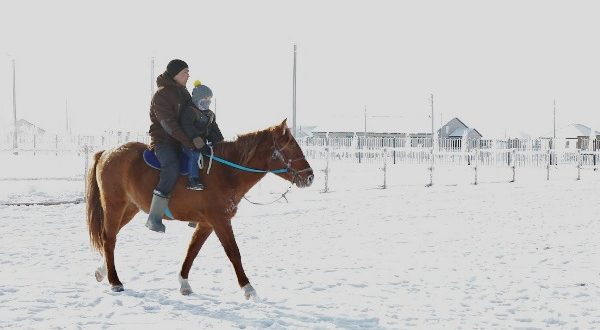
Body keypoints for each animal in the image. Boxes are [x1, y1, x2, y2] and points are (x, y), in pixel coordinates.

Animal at [87, 120, 316, 298]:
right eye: (290, 147)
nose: (310, 176)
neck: (226, 172)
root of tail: (107, 152)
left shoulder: (207, 223)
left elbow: (192, 250)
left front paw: (184, 283)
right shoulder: (220, 220)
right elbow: (234, 253)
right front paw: (248, 288)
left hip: (130, 208)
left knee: (109, 237)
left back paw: (101, 271)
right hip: (115, 206)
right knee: (109, 238)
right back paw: (115, 281)